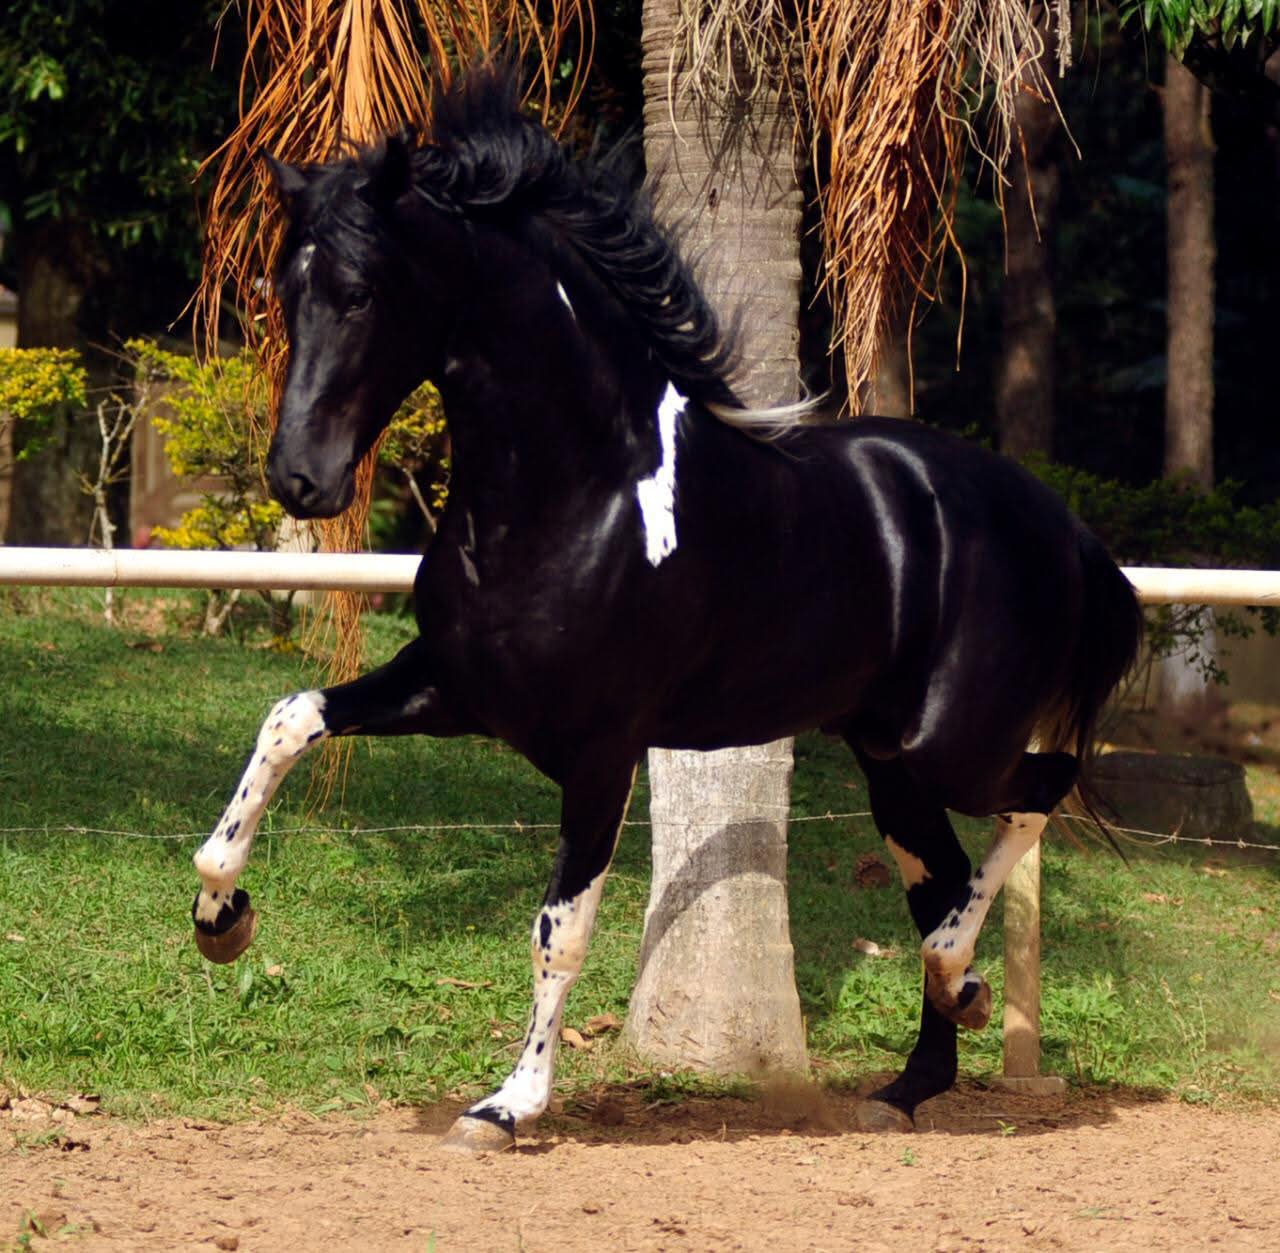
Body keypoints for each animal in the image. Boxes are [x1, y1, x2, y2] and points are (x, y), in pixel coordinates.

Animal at [190, 63, 1143, 1151]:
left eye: (359, 293)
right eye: (281, 292)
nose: (298, 479)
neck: (572, 492)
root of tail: (1060, 525)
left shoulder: (602, 750)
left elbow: (560, 930)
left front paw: (508, 1103)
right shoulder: (453, 689)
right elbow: (289, 717)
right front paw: (222, 917)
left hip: (955, 745)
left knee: (1038, 794)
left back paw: (958, 978)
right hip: (889, 760)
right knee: (938, 874)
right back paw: (917, 1067)